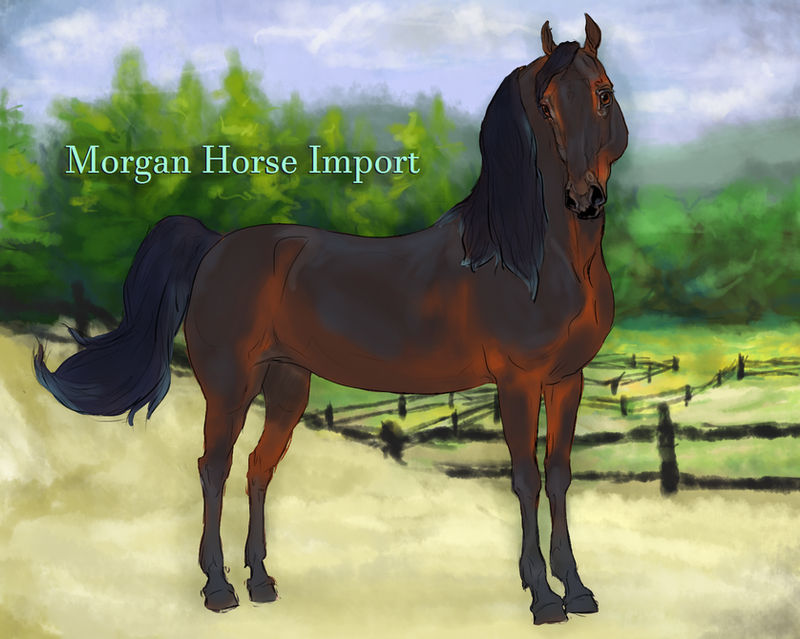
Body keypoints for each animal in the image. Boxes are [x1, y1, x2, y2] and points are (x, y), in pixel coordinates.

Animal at [34, 14, 628, 625]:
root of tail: (216, 244)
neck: (533, 259)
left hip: (287, 384)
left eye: (604, 93)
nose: (584, 198)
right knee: (214, 466)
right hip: (229, 385)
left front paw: (578, 590)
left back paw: (261, 582)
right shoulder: (517, 382)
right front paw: (543, 598)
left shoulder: (567, 380)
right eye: (547, 106)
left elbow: (559, 475)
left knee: (258, 468)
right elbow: (527, 478)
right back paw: (218, 589)